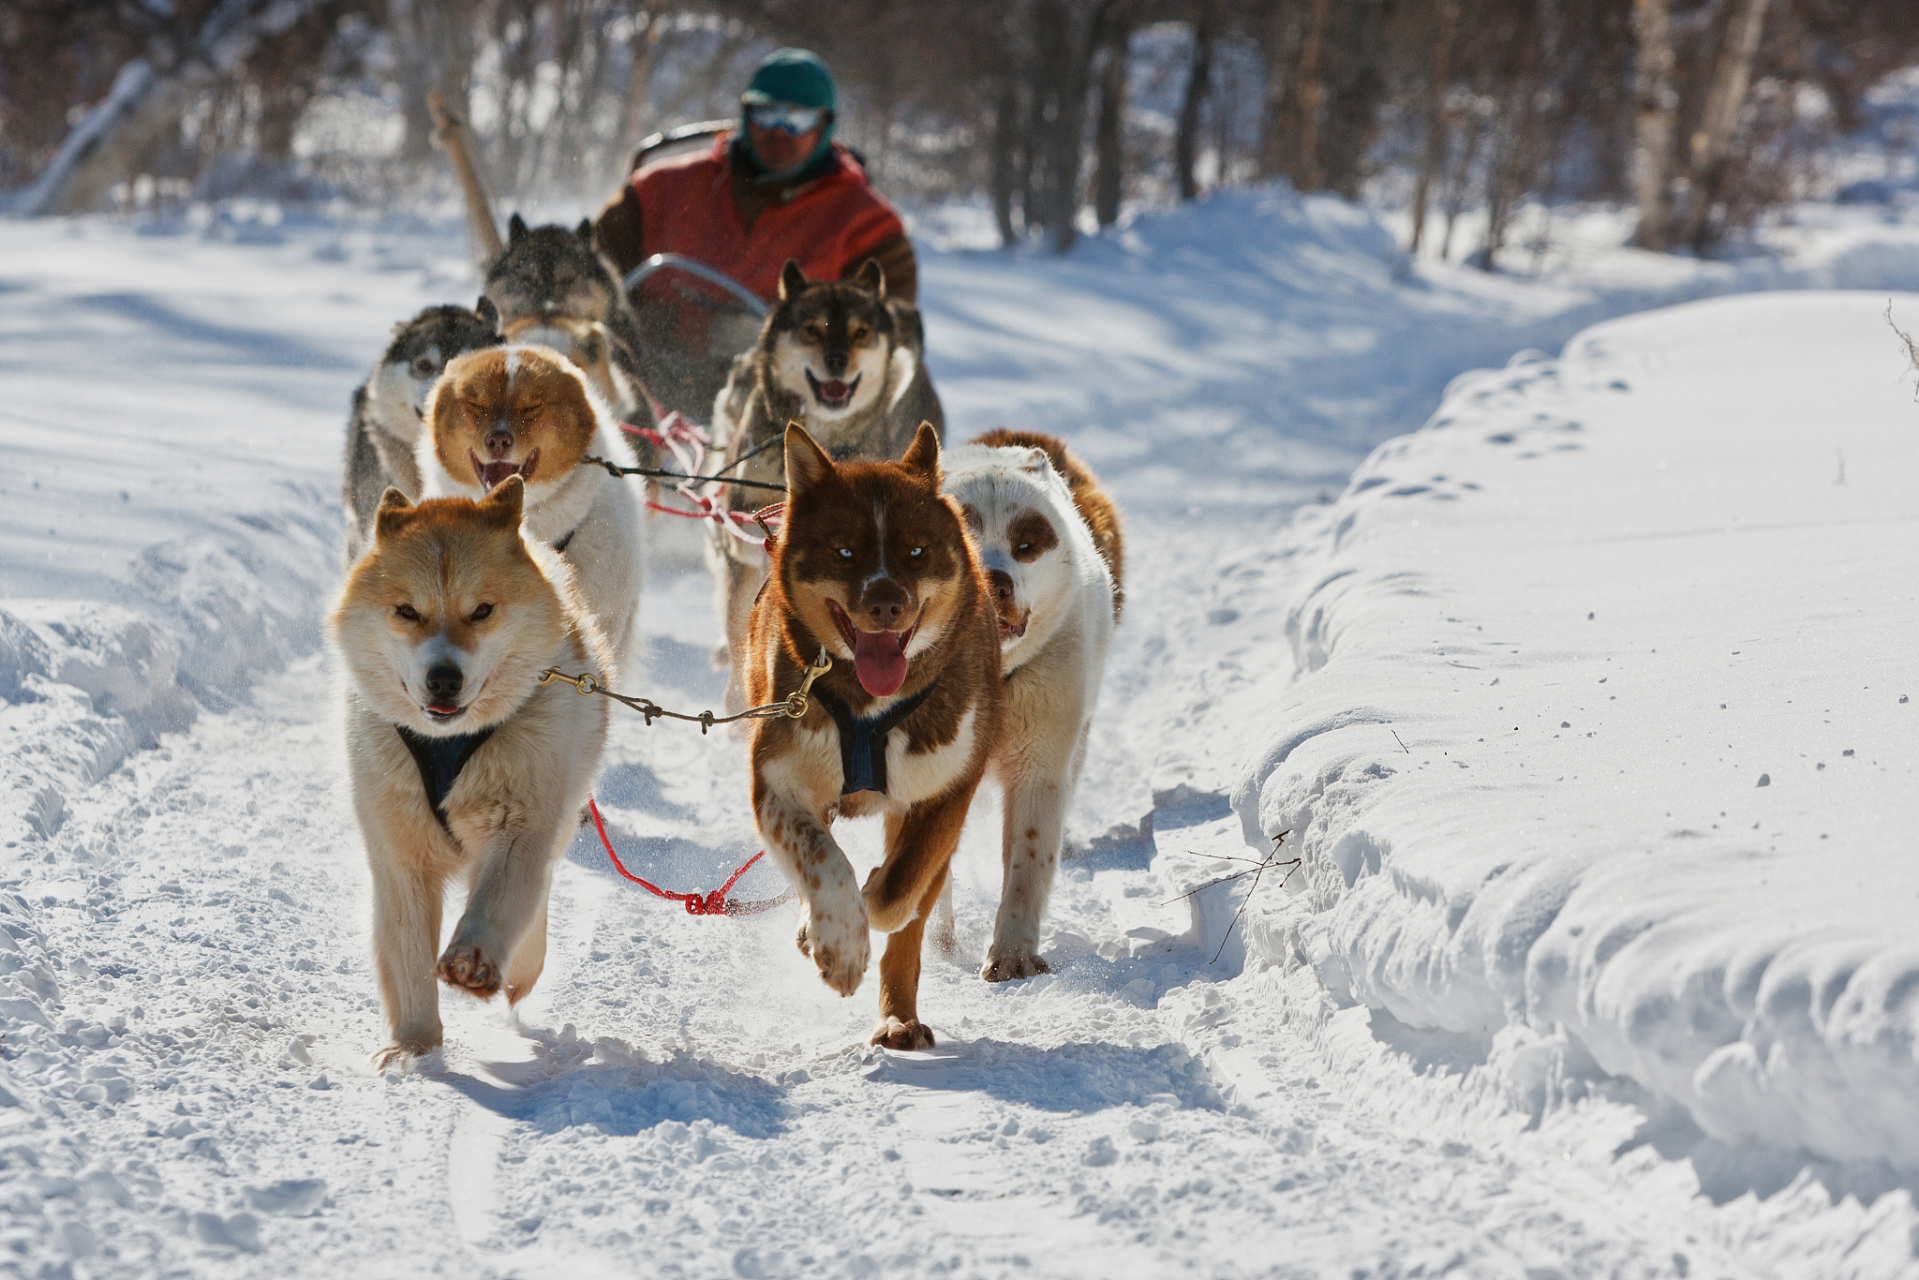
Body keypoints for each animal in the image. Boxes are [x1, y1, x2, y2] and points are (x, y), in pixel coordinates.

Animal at [330, 475, 610, 1066]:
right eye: (407, 611)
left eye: (481, 610)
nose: (443, 678)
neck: (448, 744)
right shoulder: (400, 856)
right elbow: (408, 950)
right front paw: (414, 1048)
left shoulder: (519, 827)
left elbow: (501, 901)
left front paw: (474, 959)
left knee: (536, 893)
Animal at [740, 426, 997, 1043]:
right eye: (845, 551)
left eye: (916, 551)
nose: (886, 602)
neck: (868, 710)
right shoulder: (778, 781)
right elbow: (825, 863)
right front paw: (835, 942)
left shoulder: (946, 790)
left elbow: (898, 891)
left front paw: (862, 907)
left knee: (913, 909)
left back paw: (900, 1019)